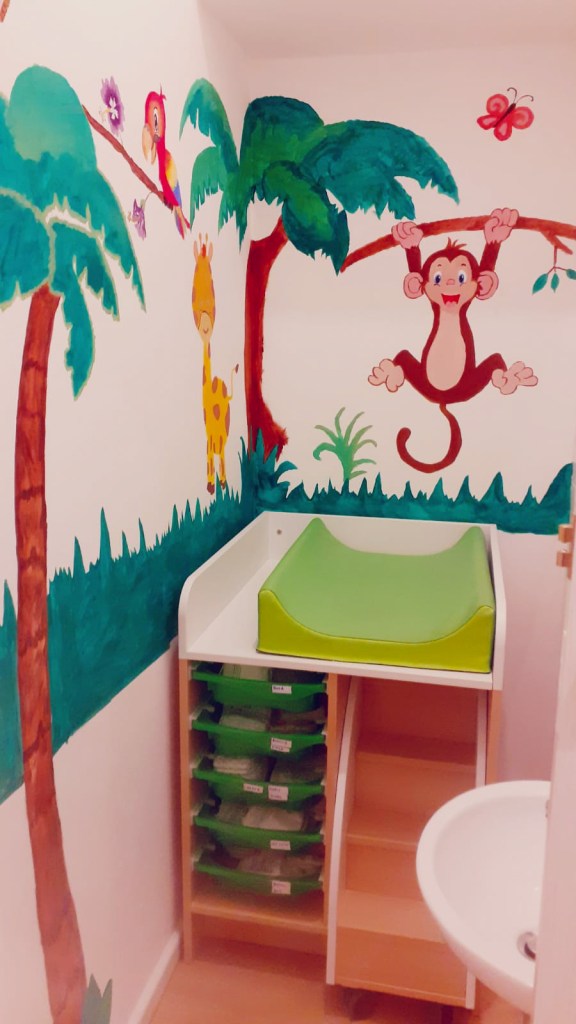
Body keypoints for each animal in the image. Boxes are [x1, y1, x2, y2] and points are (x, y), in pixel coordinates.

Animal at [368, 208, 538, 473]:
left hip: (469, 383)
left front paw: (496, 231)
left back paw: (510, 378)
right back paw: (390, 373)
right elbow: (415, 277)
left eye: (461, 276)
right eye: (437, 277)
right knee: (404, 358)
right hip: (424, 380)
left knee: (495, 363)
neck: (450, 311)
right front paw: (409, 240)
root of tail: (443, 399)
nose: (448, 283)